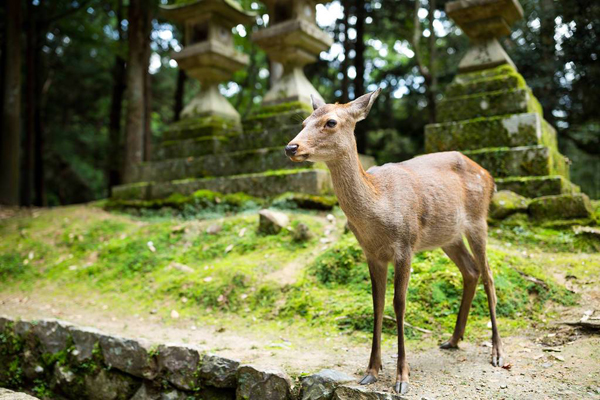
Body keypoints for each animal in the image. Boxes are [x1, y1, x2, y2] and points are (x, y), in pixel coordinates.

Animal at [284, 87, 504, 394]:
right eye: (304, 121)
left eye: (331, 122)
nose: (291, 148)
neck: (380, 207)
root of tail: (490, 176)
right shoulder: (371, 253)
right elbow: (376, 302)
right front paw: (371, 371)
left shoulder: (405, 245)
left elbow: (399, 303)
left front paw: (402, 378)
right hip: (448, 236)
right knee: (470, 271)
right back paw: (452, 339)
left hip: (478, 220)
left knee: (488, 275)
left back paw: (497, 352)